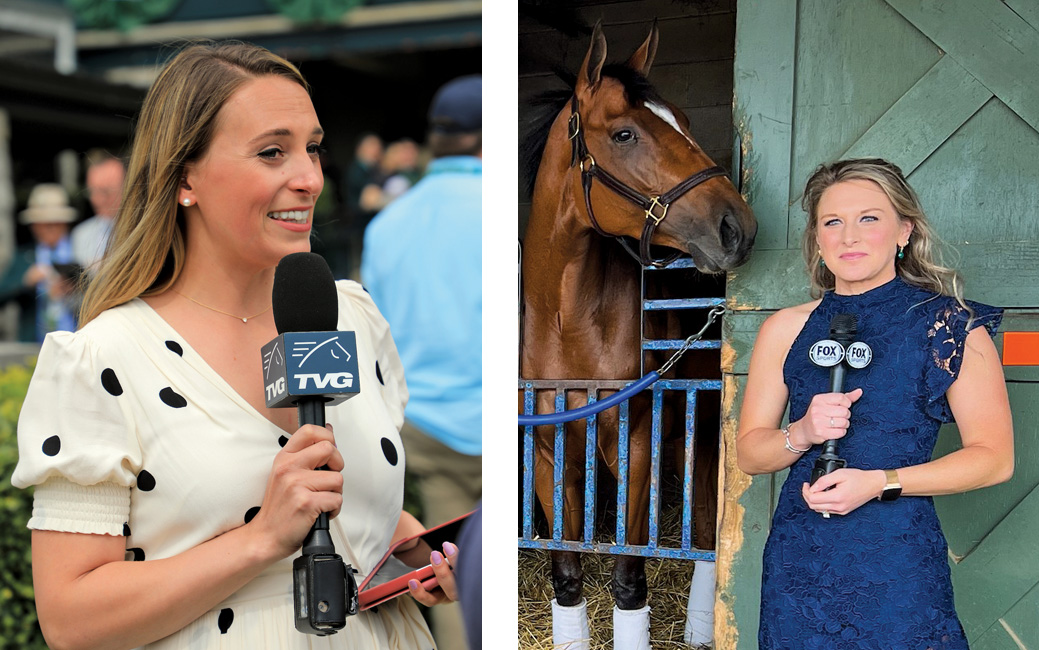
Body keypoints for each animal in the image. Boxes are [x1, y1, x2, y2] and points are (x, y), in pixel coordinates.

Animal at [519, 22, 756, 643]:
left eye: (685, 121)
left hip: (702, 431)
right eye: (624, 133)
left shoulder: (636, 449)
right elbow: (567, 575)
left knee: (706, 531)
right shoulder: (552, 455)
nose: (737, 227)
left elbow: (629, 581)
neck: (570, 323)